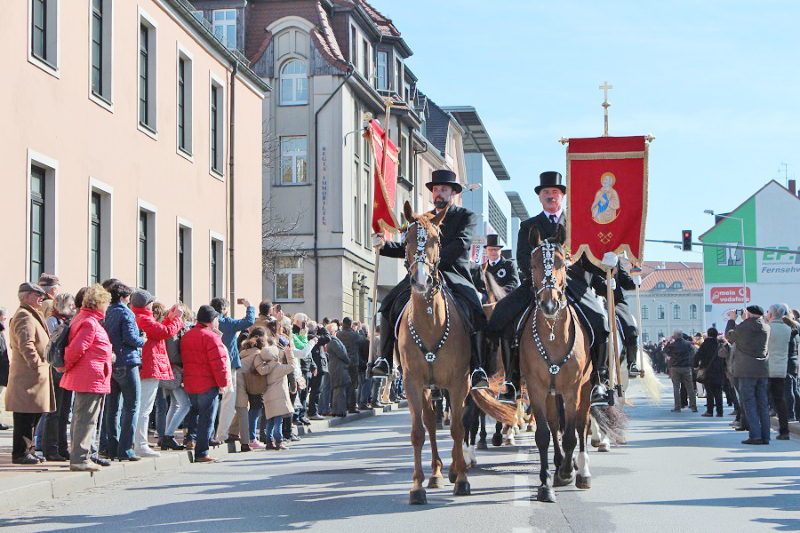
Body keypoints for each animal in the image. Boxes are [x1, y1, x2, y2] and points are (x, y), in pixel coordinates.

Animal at [396, 202, 472, 504]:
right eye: (405, 239)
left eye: (436, 240)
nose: (421, 280)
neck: (430, 321)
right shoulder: (412, 383)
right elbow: (418, 432)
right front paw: (417, 486)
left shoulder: (459, 382)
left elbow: (458, 428)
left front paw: (462, 479)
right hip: (429, 388)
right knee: (430, 423)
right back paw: (438, 472)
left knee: (458, 421)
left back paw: (454, 468)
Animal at [520, 231, 592, 500]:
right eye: (532, 265)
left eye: (563, 264)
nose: (549, 306)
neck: (552, 333)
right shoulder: (536, 388)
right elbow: (543, 433)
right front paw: (545, 483)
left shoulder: (572, 389)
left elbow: (571, 434)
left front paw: (567, 473)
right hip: (551, 392)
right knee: (553, 424)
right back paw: (561, 462)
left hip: (587, 386)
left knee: (582, 425)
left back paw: (581, 471)